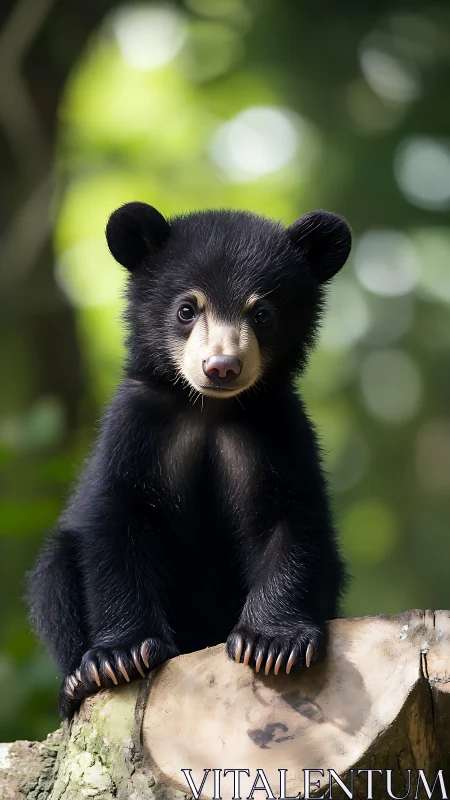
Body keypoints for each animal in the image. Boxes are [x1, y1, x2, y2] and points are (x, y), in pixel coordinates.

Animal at [28, 202, 352, 718]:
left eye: (262, 313)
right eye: (186, 309)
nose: (221, 367)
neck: (209, 410)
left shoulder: (278, 431)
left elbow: (290, 518)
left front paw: (273, 644)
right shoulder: (135, 428)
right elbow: (118, 518)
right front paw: (120, 656)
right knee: (53, 575)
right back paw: (76, 681)